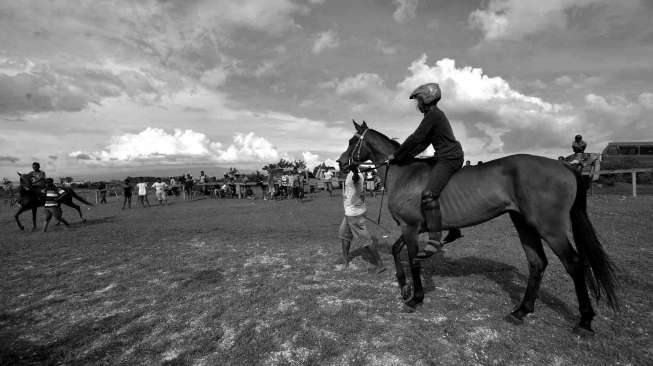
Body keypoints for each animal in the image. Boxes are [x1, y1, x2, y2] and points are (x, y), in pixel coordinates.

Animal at [338, 121, 620, 334]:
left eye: (352, 141)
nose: (341, 163)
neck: (405, 174)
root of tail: (564, 164)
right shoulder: (413, 229)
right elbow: (398, 252)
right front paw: (403, 284)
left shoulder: (410, 228)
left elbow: (413, 260)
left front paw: (415, 298)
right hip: (524, 224)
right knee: (537, 262)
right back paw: (521, 311)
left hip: (550, 227)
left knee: (574, 263)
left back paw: (584, 321)